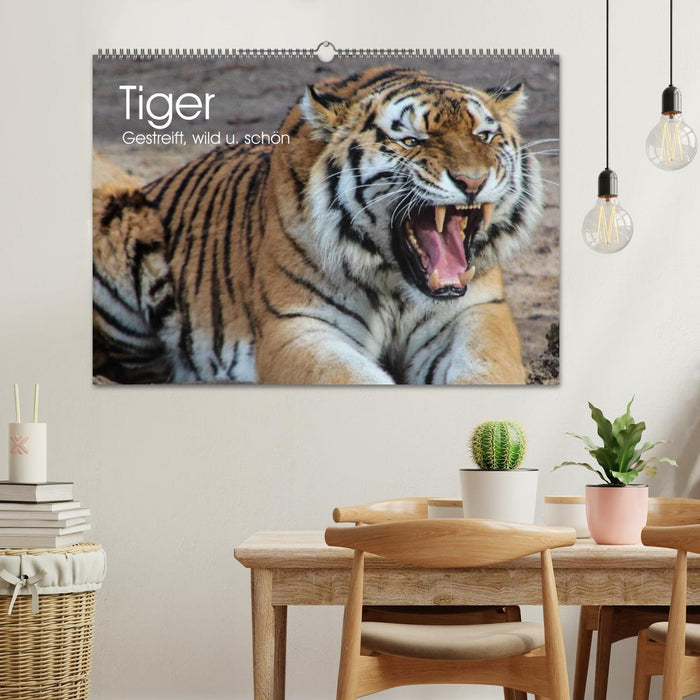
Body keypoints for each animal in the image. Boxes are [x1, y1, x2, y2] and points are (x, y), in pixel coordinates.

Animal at [93, 66, 544, 385]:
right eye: (411, 141)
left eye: (483, 136)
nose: (472, 181)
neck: (395, 282)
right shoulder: (298, 325)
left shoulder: (477, 311)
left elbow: (487, 368)